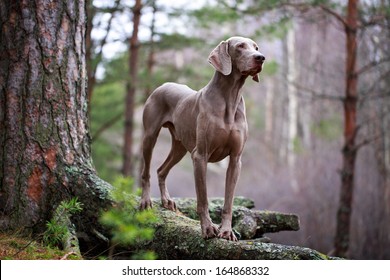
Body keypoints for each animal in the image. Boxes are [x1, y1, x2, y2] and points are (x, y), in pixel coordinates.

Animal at [139, 35, 266, 241]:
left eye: (256, 47)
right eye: (240, 46)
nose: (261, 57)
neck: (229, 99)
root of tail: (164, 84)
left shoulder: (235, 160)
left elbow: (229, 201)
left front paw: (226, 231)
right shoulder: (200, 156)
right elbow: (203, 199)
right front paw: (207, 228)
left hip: (180, 147)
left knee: (161, 170)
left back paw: (167, 201)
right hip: (150, 136)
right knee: (146, 171)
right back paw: (145, 201)